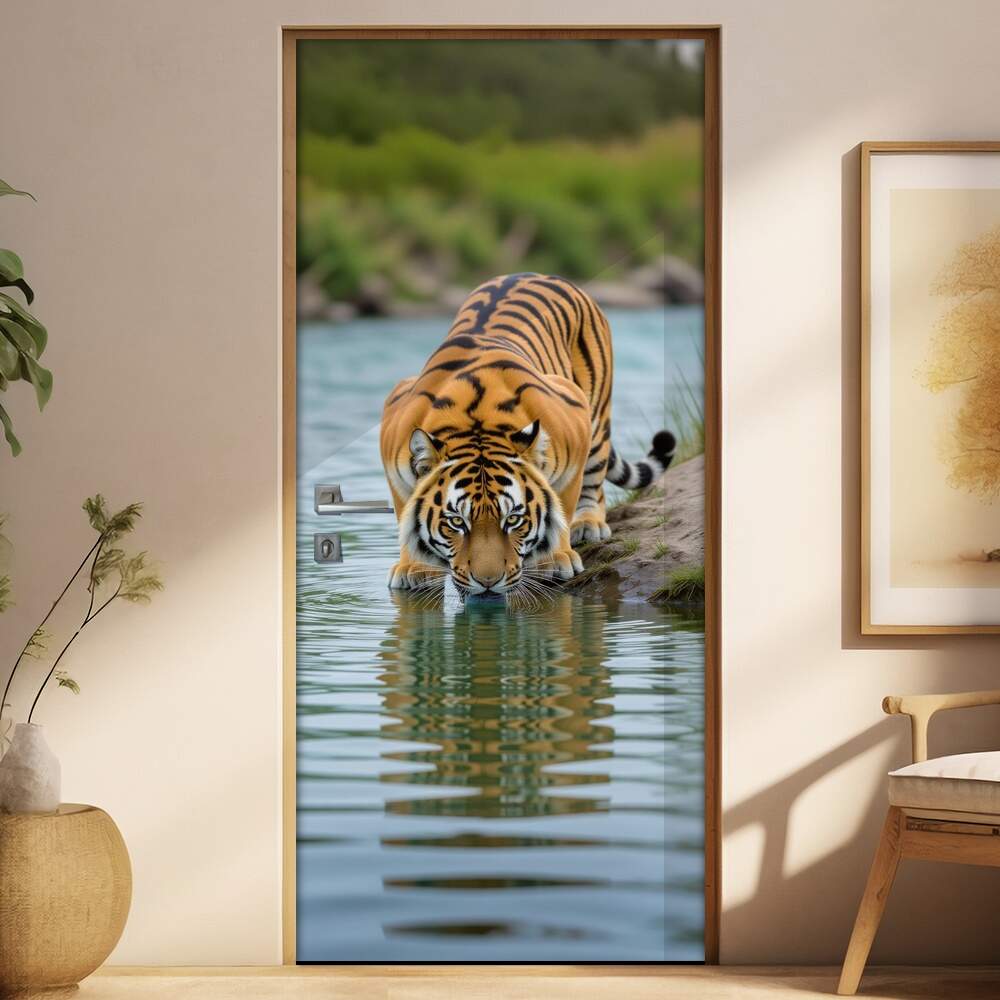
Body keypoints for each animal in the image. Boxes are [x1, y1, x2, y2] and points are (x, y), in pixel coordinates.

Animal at [379, 273, 676, 598]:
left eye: (513, 519)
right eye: (457, 521)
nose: (487, 582)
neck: (475, 422)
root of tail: (539, 274)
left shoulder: (575, 420)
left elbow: (560, 504)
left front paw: (553, 560)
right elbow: (407, 513)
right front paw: (415, 569)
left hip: (596, 413)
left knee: (594, 482)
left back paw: (588, 524)